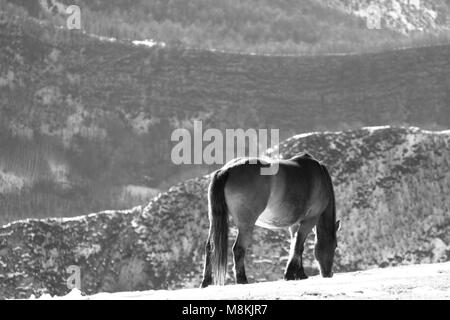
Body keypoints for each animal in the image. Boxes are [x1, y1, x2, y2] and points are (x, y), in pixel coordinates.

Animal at [199, 153, 340, 288]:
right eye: (335, 246)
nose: (328, 273)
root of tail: (226, 169)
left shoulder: (294, 225)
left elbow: (295, 246)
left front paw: (299, 274)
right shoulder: (309, 221)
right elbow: (299, 247)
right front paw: (291, 274)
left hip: (215, 221)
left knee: (210, 246)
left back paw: (206, 281)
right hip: (246, 225)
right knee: (238, 248)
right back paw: (242, 280)